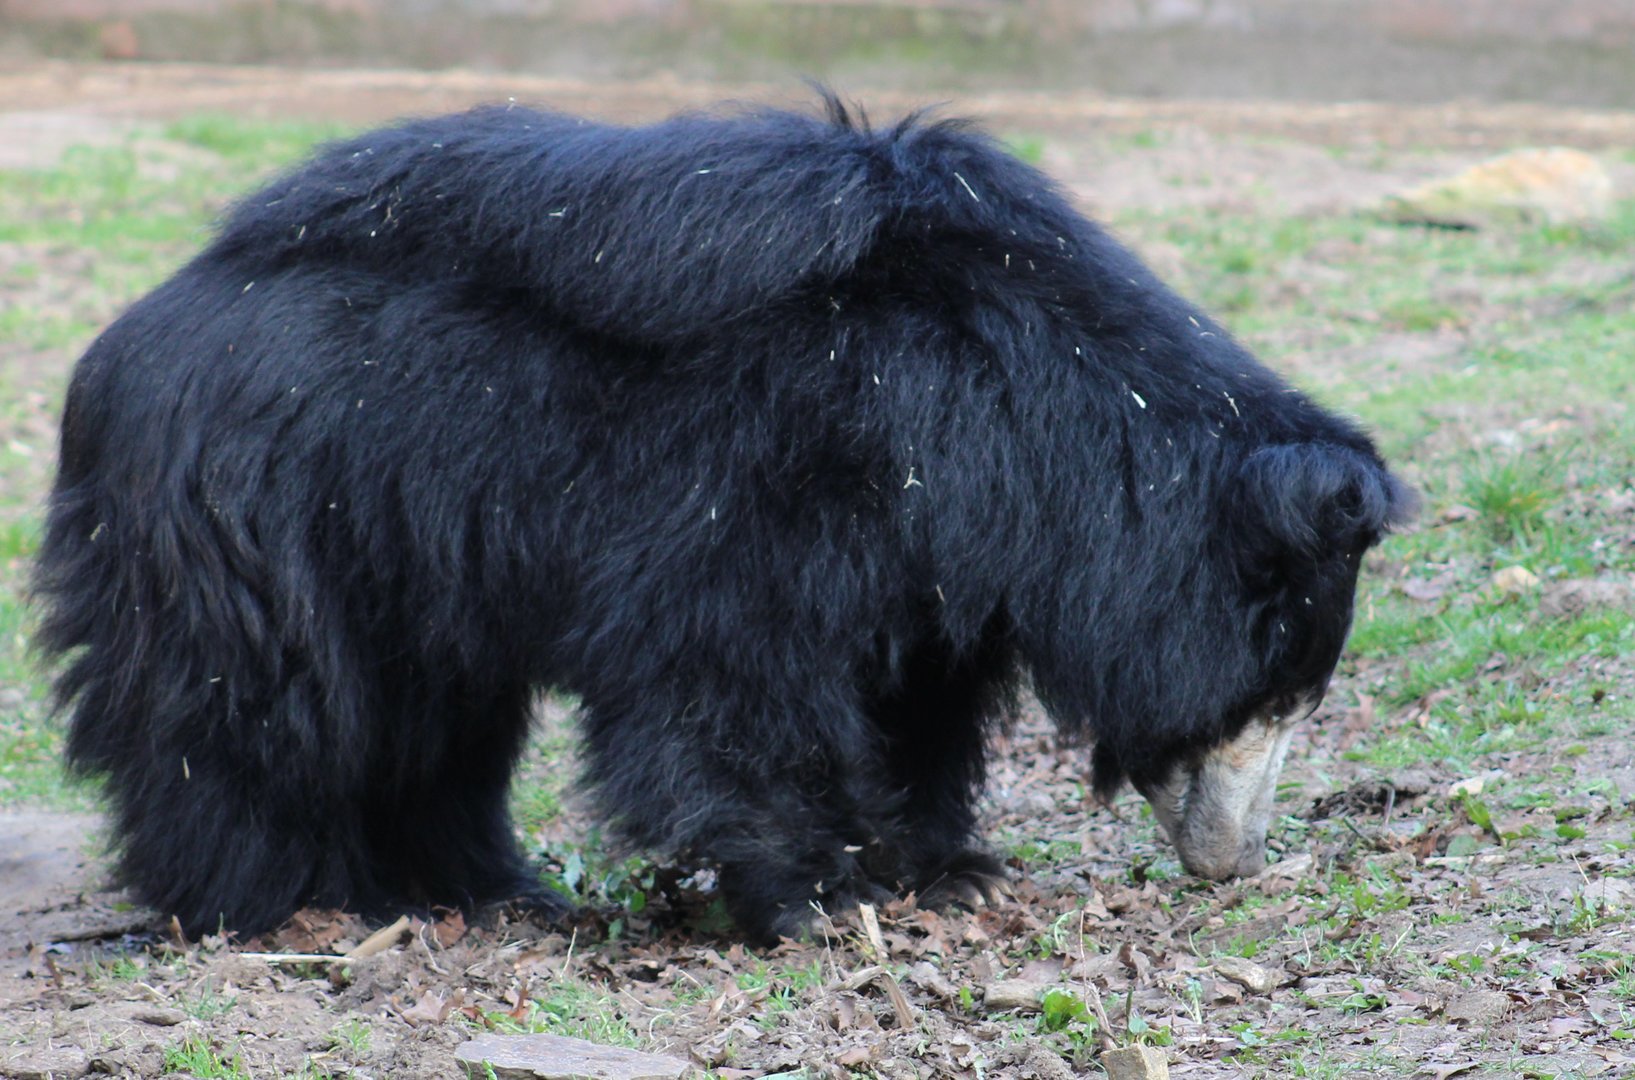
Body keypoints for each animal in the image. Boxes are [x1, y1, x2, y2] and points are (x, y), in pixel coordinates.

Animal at [34, 95, 1413, 943]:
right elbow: (726, 675)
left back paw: (486, 888)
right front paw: (802, 901)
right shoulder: (774, 476)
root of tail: (135, 327)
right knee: (258, 708)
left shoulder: (933, 549)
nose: (1234, 859)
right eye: (1272, 697)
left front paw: (948, 871)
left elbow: (914, 701)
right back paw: (277, 899)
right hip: (264, 507)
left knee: (431, 725)